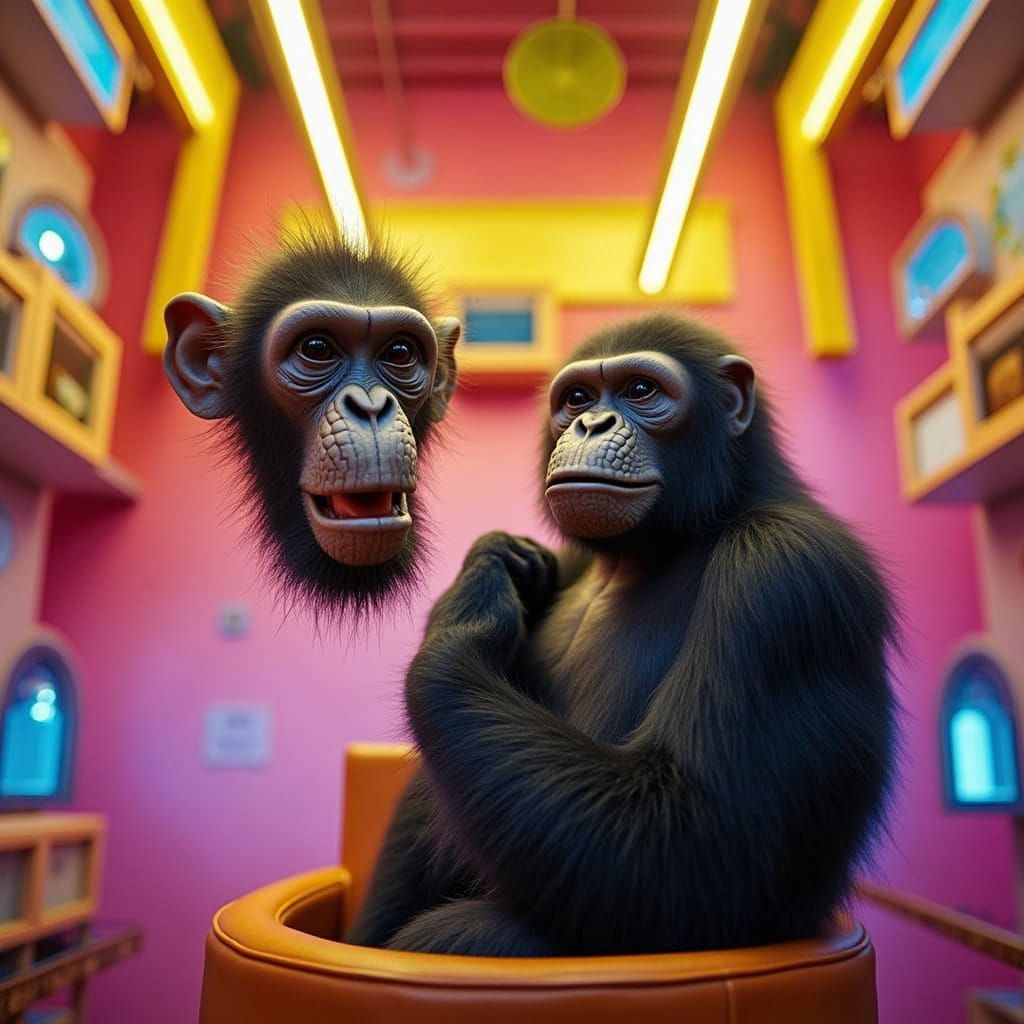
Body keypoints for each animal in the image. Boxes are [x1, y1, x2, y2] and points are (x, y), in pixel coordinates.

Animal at [348, 313, 897, 957]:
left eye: (640, 391)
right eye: (579, 398)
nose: (592, 422)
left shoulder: (787, 576)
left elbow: (681, 834)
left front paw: (471, 604)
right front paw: (495, 564)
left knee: (472, 936)